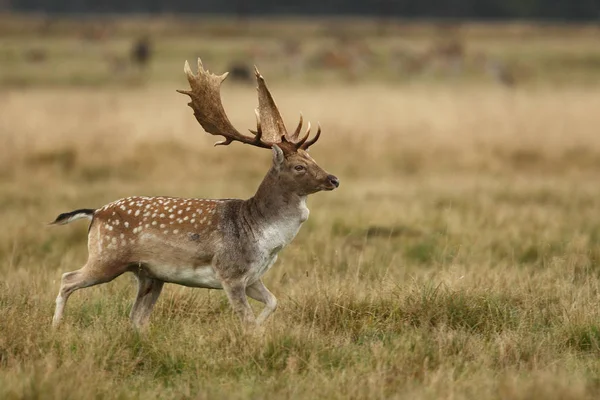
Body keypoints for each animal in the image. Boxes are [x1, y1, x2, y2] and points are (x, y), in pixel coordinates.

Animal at [49, 57, 340, 330]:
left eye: (313, 158)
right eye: (299, 166)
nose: (333, 179)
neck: (262, 237)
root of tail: (95, 213)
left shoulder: (253, 277)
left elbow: (273, 302)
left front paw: (261, 328)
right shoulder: (230, 272)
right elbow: (246, 320)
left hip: (149, 274)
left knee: (136, 317)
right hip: (107, 257)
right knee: (67, 279)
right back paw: (55, 327)